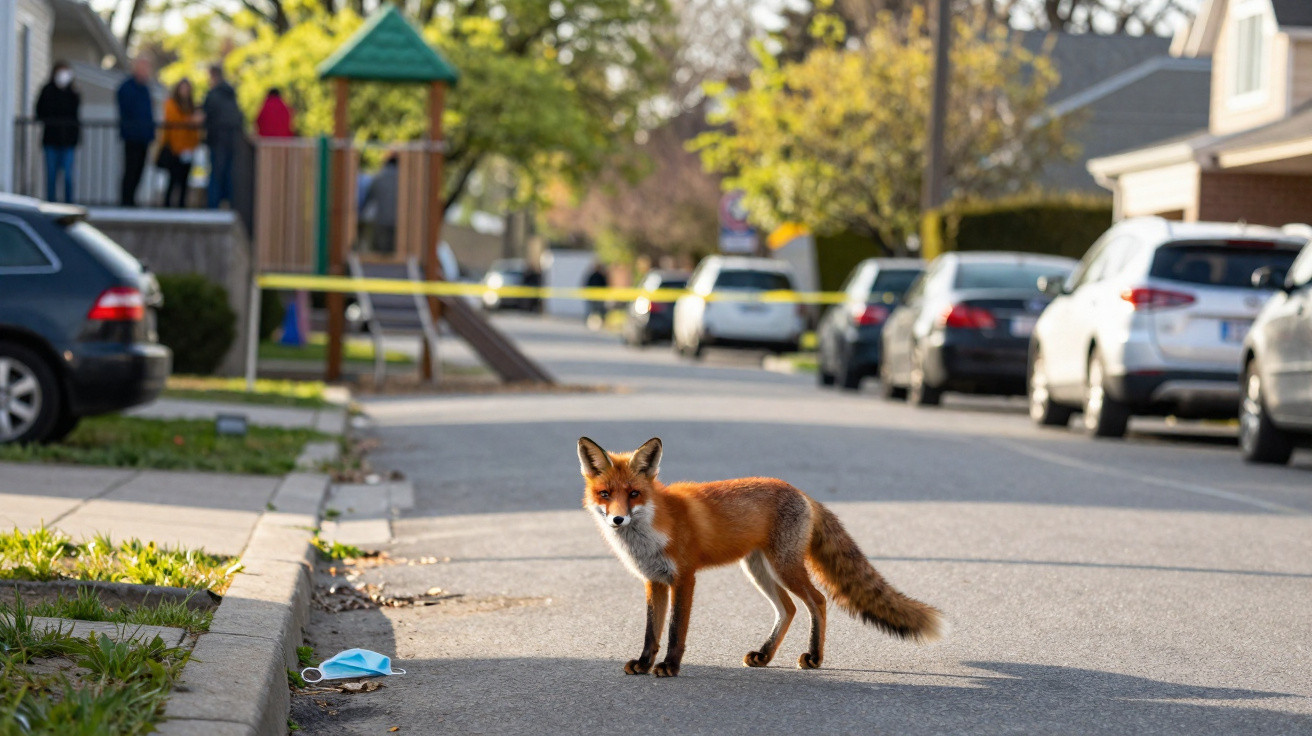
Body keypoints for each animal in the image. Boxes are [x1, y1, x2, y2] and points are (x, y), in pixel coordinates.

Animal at [578, 436, 945, 678]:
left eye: (634, 494)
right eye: (605, 494)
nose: (617, 519)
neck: (653, 528)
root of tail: (802, 493)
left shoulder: (684, 577)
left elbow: (674, 631)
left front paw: (670, 666)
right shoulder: (654, 581)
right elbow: (651, 632)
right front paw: (644, 664)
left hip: (784, 567)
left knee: (817, 601)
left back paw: (814, 657)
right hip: (757, 569)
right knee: (789, 608)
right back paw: (765, 655)